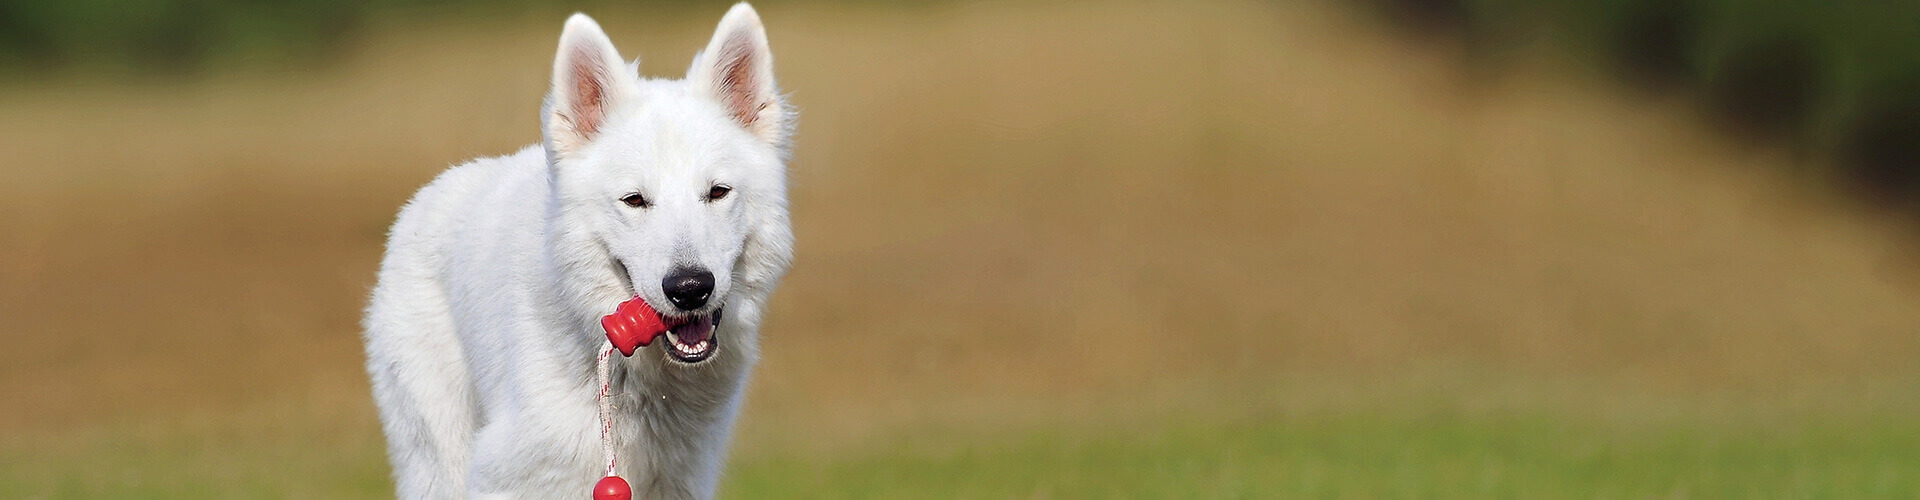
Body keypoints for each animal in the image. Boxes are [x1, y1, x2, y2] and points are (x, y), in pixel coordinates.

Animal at [362, 2, 791, 496]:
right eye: (634, 200)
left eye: (718, 192)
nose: (689, 289)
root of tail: (425, 197)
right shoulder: (509, 476)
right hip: (438, 461)